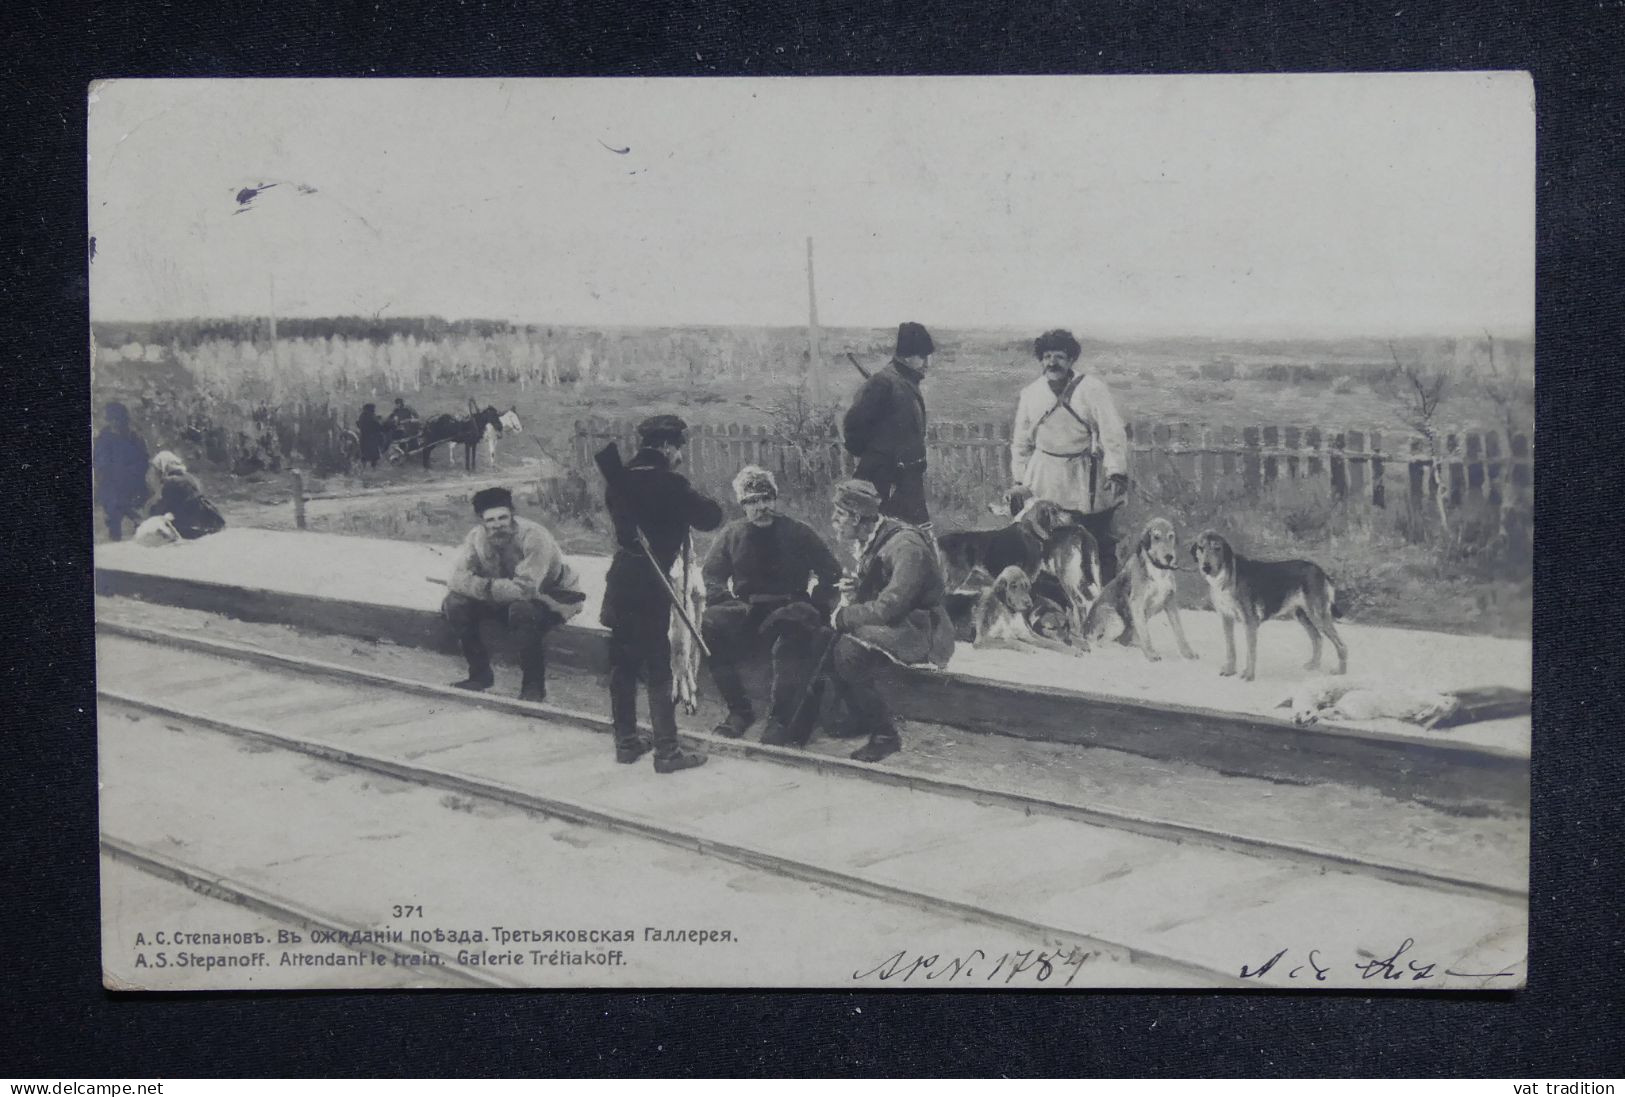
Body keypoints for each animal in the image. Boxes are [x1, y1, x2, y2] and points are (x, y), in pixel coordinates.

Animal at [942, 500, 1105, 643]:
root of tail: (1083, 534)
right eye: (1054, 510)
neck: (1033, 532)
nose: (1075, 516)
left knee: (1082, 602)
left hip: (1072, 578)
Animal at [1079, 513, 1196, 659]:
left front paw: (1188, 652)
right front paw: (1151, 654)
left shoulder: (1170, 602)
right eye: (1156, 537)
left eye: (1171, 536)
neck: (1158, 570)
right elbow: (1145, 634)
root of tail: (1084, 630)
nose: (1169, 557)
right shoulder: (1137, 603)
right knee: (1101, 643)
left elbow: (1179, 631)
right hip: (1117, 620)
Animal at [1196, 529, 1345, 682]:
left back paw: (1341, 671)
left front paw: (1249, 675)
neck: (1226, 576)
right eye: (1200, 548)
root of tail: (1322, 572)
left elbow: (1251, 652)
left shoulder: (1250, 622)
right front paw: (1230, 671)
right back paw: (1314, 665)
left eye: (1217, 548)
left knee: (1340, 645)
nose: (1206, 567)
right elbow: (1230, 648)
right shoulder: (1227, 619)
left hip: (1318, 615)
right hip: (1302, 615)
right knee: (1317, 639)